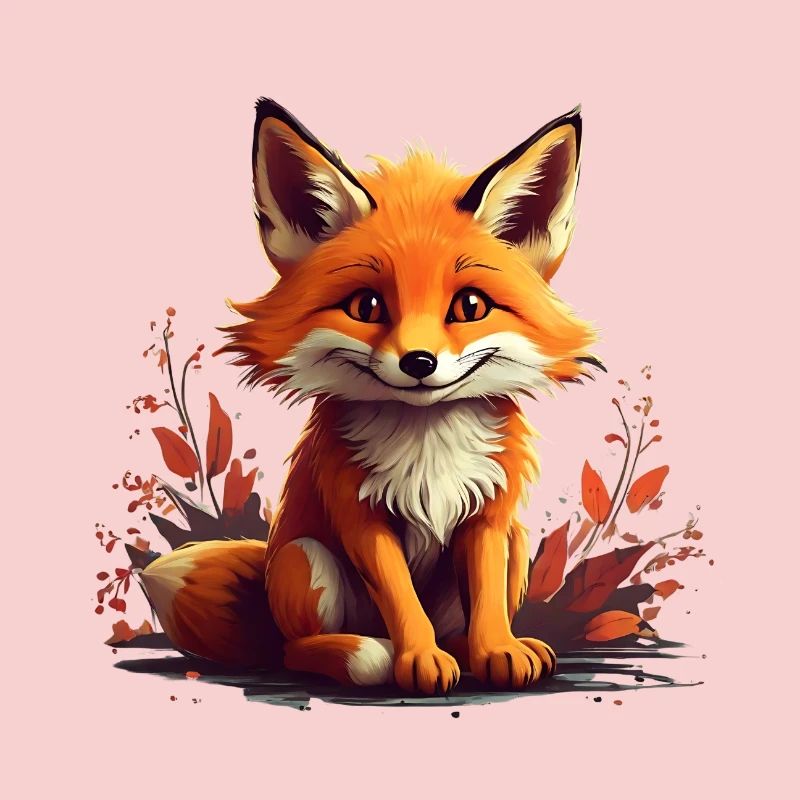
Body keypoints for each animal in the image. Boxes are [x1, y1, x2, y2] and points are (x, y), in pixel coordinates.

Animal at [140, 98, 599, 694]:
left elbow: (488, 602)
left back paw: (468, 650)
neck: (428, 445)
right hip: (305, 558)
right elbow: (402, 601)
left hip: (518, 543)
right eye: (366, 306)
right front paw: (417, 660)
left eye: (470, 306)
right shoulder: (359, 515)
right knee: (294, 651)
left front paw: (496, 650)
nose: (419, 362)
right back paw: (364, 654)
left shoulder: (489, 516)